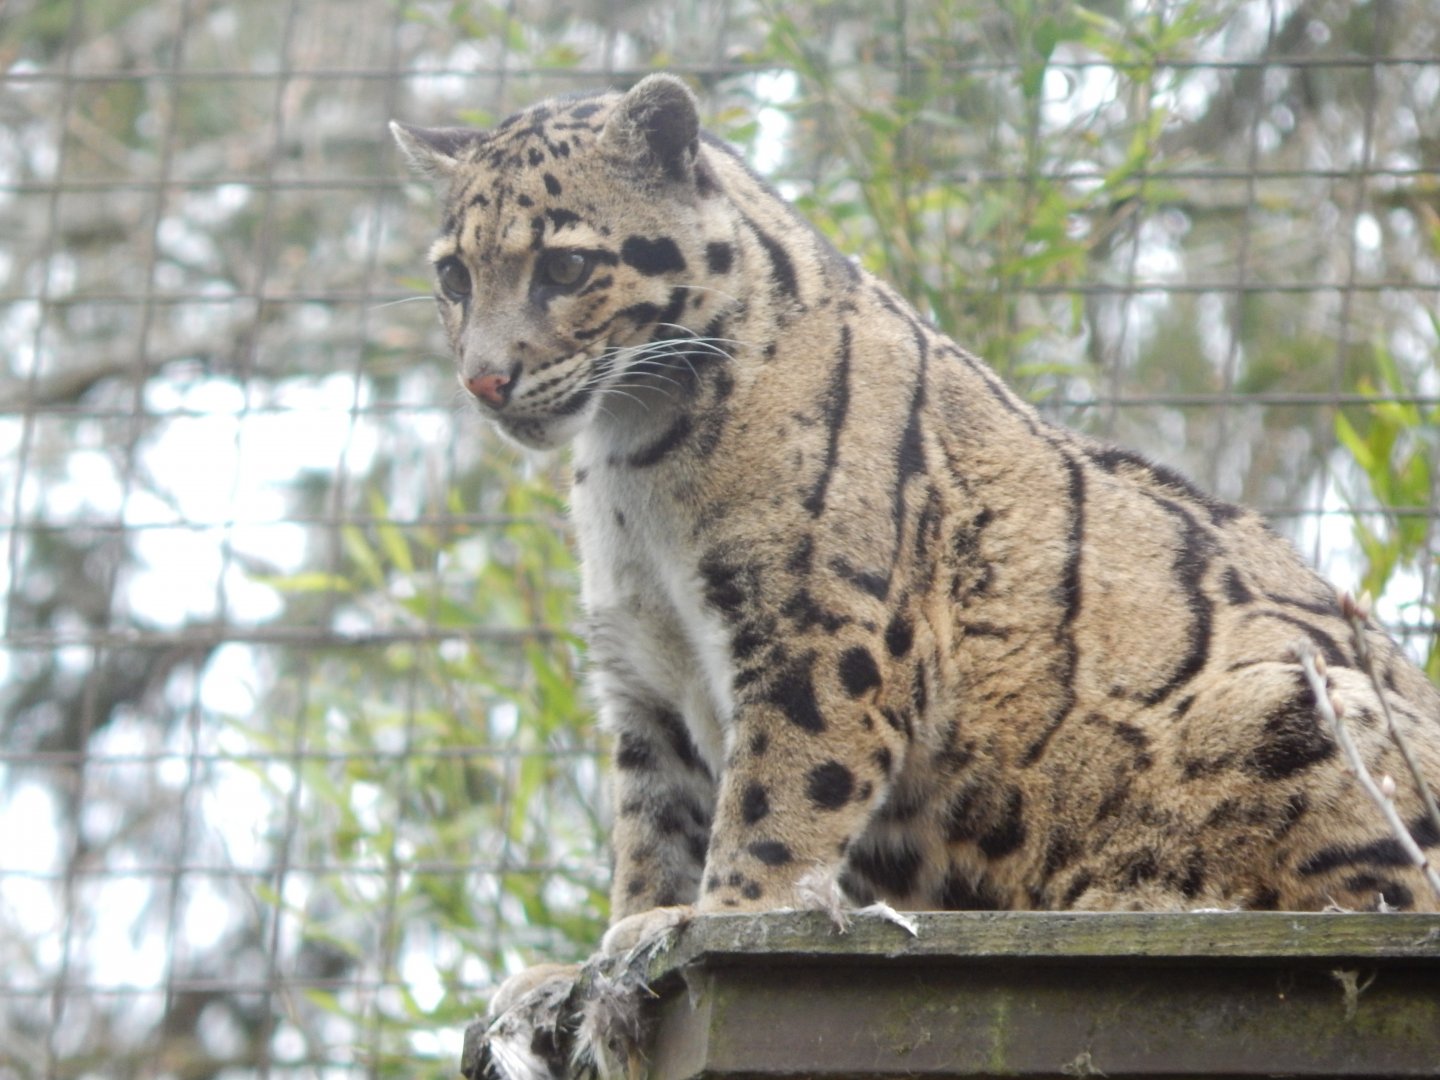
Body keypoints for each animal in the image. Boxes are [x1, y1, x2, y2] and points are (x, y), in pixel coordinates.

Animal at [393, 71, 1440, 1071]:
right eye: (452, 275)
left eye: (566, 265)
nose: (483, 379)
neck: (631, 464)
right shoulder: (644, 680)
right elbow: (653, 825)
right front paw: (603, 949)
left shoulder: (817, 632)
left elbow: (777, 798)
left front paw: (718, 916)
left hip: (1298, 707)